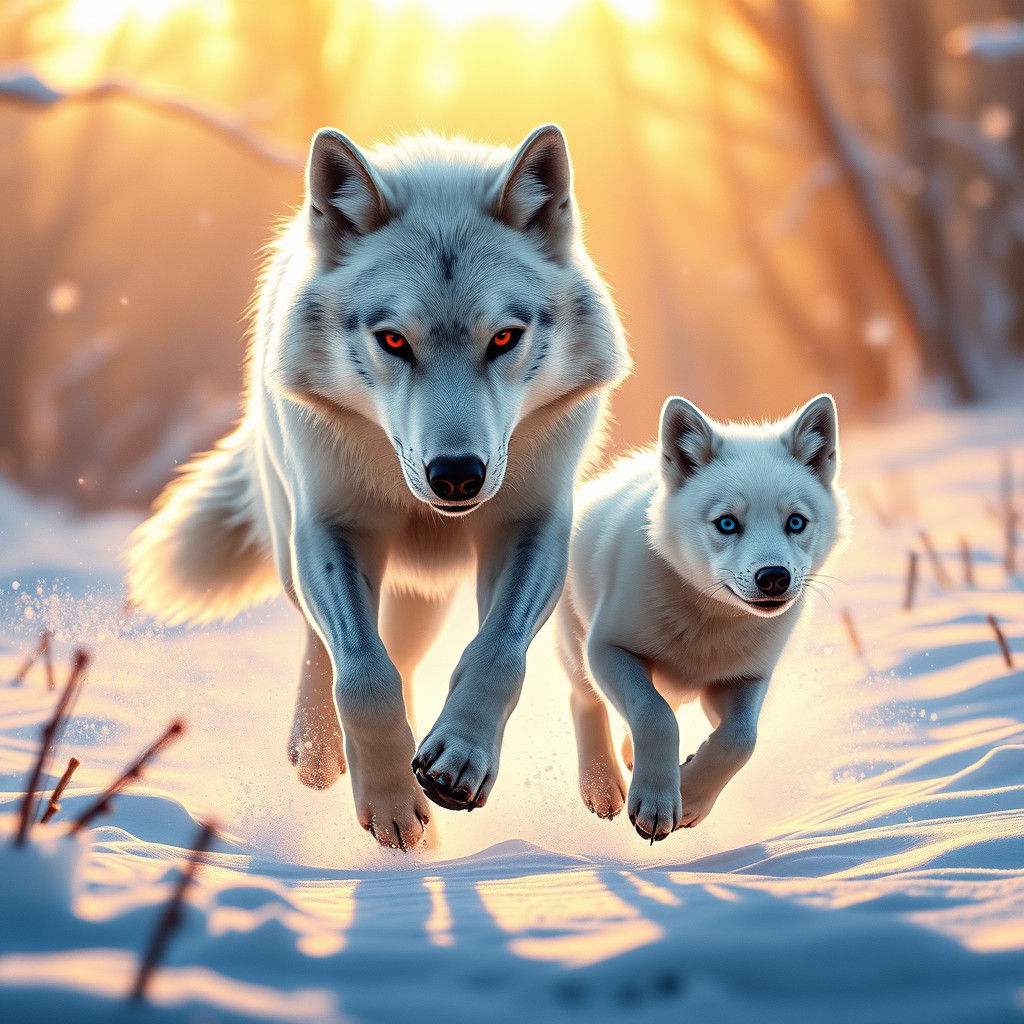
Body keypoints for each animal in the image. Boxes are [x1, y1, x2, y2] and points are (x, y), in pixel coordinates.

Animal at [126, 124, 629, 850]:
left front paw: (456, 760)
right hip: (294, 543)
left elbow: (497, 654)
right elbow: (362, 672)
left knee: (411, 658)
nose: (456, 474)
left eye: (504, 338)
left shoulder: (531, 528)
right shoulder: (330, 530)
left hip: (426, 593)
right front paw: (390, 800)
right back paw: (317, 753)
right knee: (327, 644)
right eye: (393, 341)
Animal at [556, 394, 846, 842]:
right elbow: (655, 715)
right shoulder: (608, 648)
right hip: (577, 646)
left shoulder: (745, 678)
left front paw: (690, 796)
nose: (774, 578)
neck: (709, 623)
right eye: (727, 523)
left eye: (795, 522)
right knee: (584, 699)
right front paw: (656, 802)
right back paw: (601, 788)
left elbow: (741, 740)